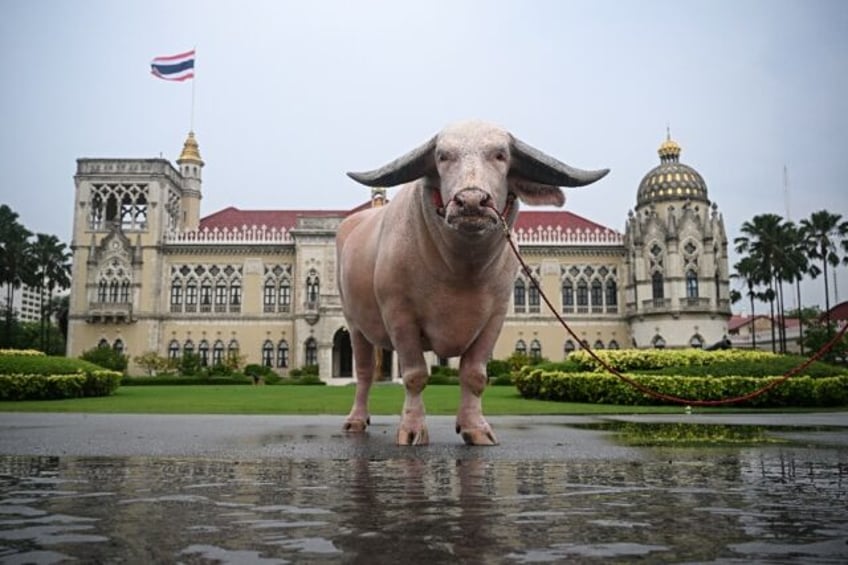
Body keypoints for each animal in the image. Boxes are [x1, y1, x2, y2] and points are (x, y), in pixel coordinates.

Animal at [334, 122, 608, 446]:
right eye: (442, 156)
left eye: (501, 155)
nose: (472, 202)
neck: (461, 270)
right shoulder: (400, 316)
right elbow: (415, 375)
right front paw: (412, 428)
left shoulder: (494, 318)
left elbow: (475, 375)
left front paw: (474, 428)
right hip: (354, 324)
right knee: (364, 373)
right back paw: (356, 420)